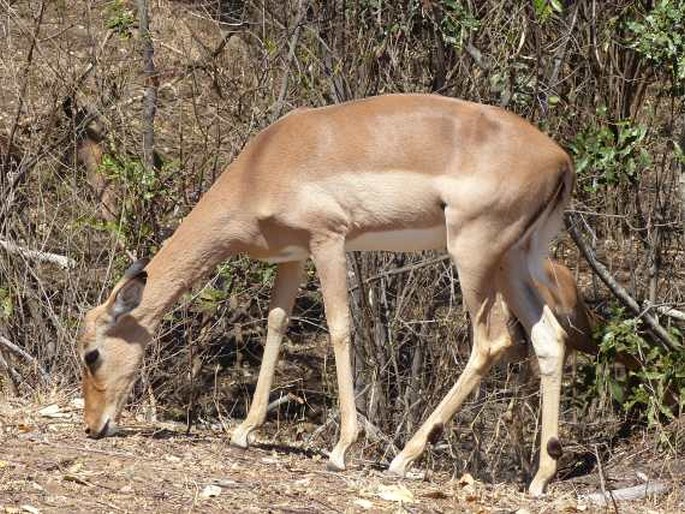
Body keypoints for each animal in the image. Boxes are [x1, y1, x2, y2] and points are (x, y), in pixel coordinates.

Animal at [77, 94, 576, 494]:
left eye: (92, 354)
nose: (93, 426)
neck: (265, 163)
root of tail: (560, 158)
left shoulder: (328, 241)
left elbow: (339, 327)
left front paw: (341, 448)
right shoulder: (292, 255)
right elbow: (276, 324)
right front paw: (245, 430)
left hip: (473, 256)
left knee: (491, 340)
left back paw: (403, 458)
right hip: (515, 261)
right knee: (549, 338)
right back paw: (539, 479)